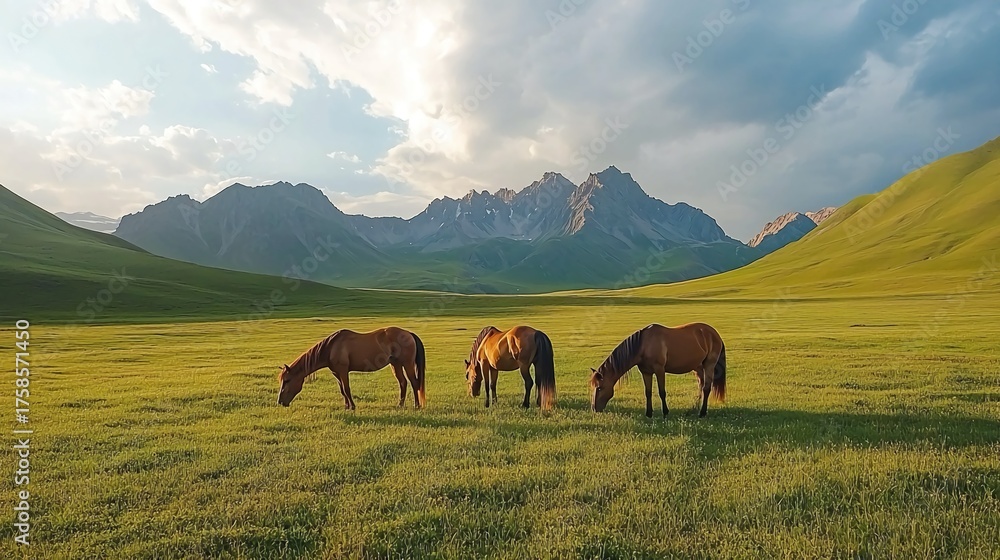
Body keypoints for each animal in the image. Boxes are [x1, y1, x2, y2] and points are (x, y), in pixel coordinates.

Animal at [277, 327, 426, 409]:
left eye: (287, 380)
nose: (280, 402)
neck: (331, 347)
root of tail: (409, 333)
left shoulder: (343, 371)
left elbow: (347, 389)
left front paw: (352, 406)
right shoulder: (336, 373)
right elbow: (342, 390)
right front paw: (347, 406)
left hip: (407, 364)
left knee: (414, 383)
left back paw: (417, 405)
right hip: (395, 364)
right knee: (403, 383)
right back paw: (400, 405)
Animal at [589, 323, 726, 418]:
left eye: (600, 388)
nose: (594, 408)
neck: (643, 345)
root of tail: (714, 334)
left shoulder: (660, 370)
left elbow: (662, 392)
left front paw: (665, 412)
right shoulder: (646, 372)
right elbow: (648, 392)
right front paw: (649, 413)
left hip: (709, 364)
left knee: (706, 388)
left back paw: (702, 413)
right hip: (698, 367)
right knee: (701, 386)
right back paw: (694, 408)